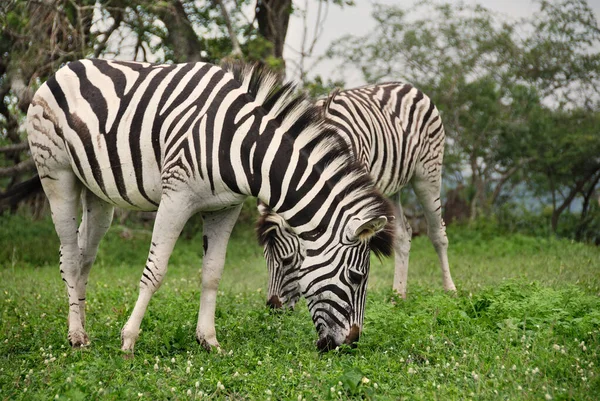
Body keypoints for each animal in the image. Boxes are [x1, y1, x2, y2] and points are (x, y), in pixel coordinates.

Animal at [25, 57, 396, 352]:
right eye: (356, 277)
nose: (351, 343)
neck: (247, 149)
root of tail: (68, 66)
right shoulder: (176, 196)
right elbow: (155, 271)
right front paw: (128, 339)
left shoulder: (225, 208)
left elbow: (213, 273)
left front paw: (208, 340)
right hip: (56, 175)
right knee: (70, 258)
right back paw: (76, 337)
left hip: (99, 195)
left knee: (84, 257)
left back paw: (83, 329)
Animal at [255, 81, 458, 308]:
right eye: (265, 256)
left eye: (287, 260)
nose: (272, 307)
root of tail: (406, 85)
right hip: (391, 187)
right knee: (403, 234)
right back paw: (397, 297)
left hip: (428, 174)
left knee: (437, 233)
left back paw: (450, 291)